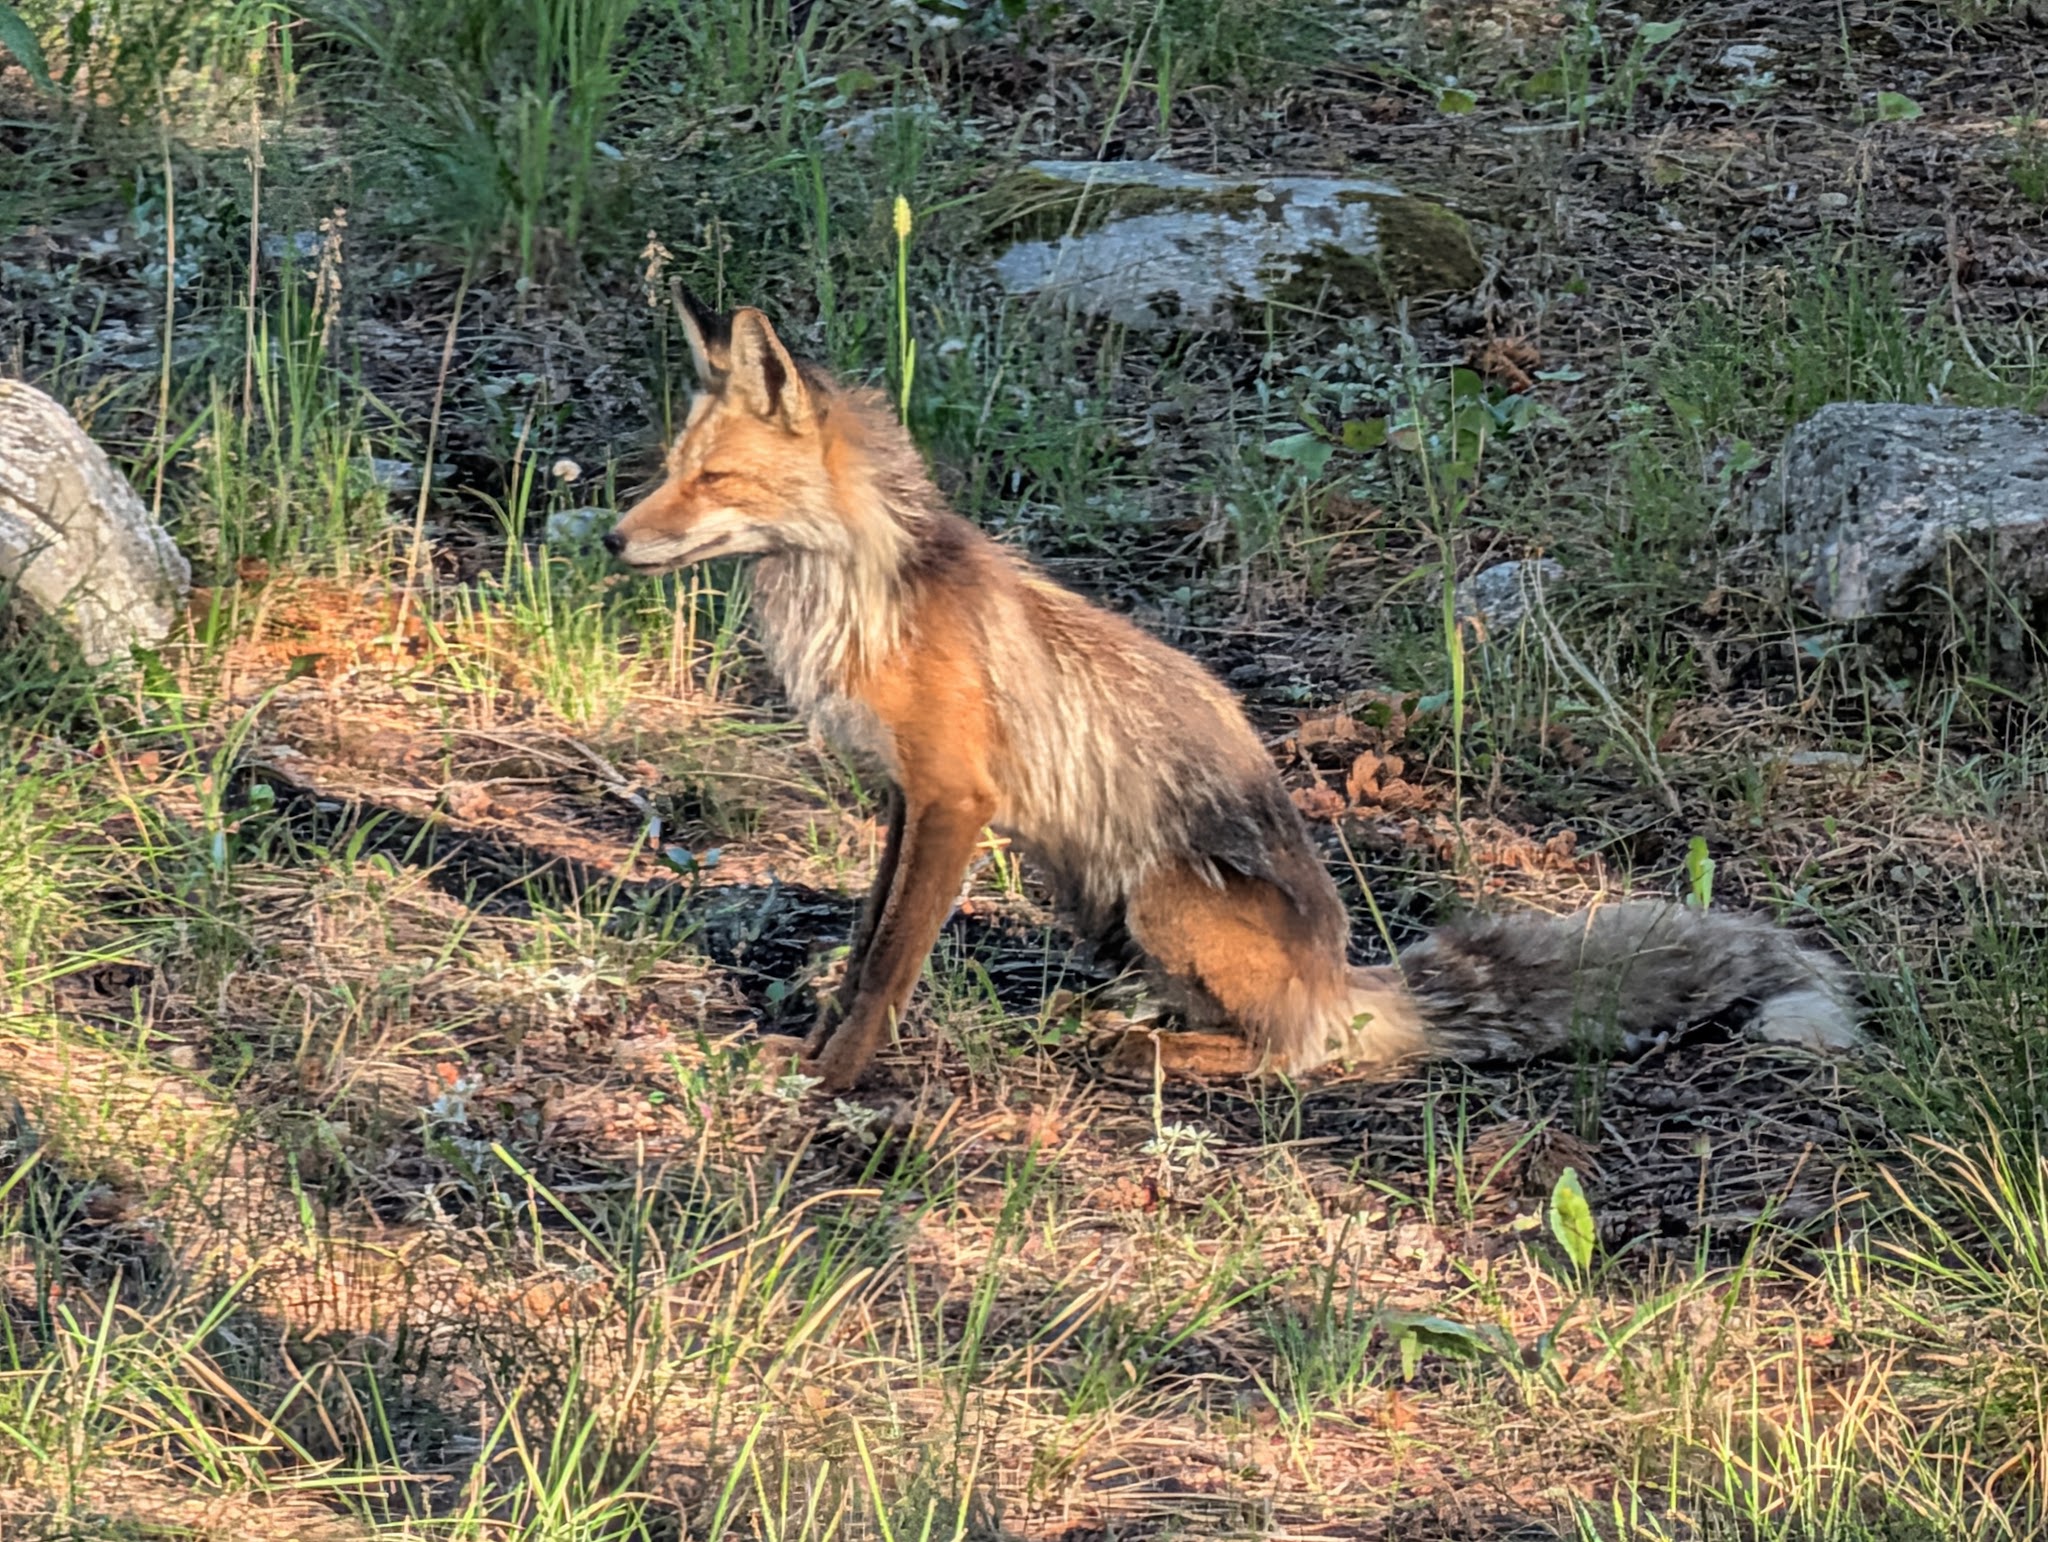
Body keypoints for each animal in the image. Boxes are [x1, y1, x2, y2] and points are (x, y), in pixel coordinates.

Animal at [603, 291, 1862, 1094]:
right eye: (668, 470)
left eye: (711, 479)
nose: (614, 541)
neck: (859, 595)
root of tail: (1342, 981)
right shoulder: (905, 803)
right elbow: (866, 941)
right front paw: (810, 1050)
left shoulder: (954, 799)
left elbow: (883, 970)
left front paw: (838, 1080)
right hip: (1095, 903)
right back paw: (1112, 1019)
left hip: (1163, 899)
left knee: (1286, 1059)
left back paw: (1151, 1053)